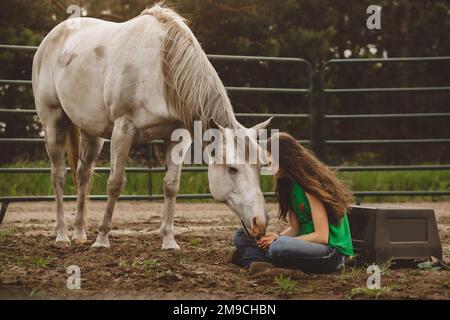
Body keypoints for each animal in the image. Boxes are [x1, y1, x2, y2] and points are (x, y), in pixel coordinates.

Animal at [32, 3, 270, 250]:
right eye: (232, 169)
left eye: (261, 165)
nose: (260, 223)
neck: (161, 69)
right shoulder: (123, 130)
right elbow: (115, 184)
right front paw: (102, 239)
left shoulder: (178, 136)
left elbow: (171, 185)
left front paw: (169, 241)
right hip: (53, 122)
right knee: (58, 175)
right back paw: (62, 236)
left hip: (91, 132)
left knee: (83, 175)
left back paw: (79, 233)